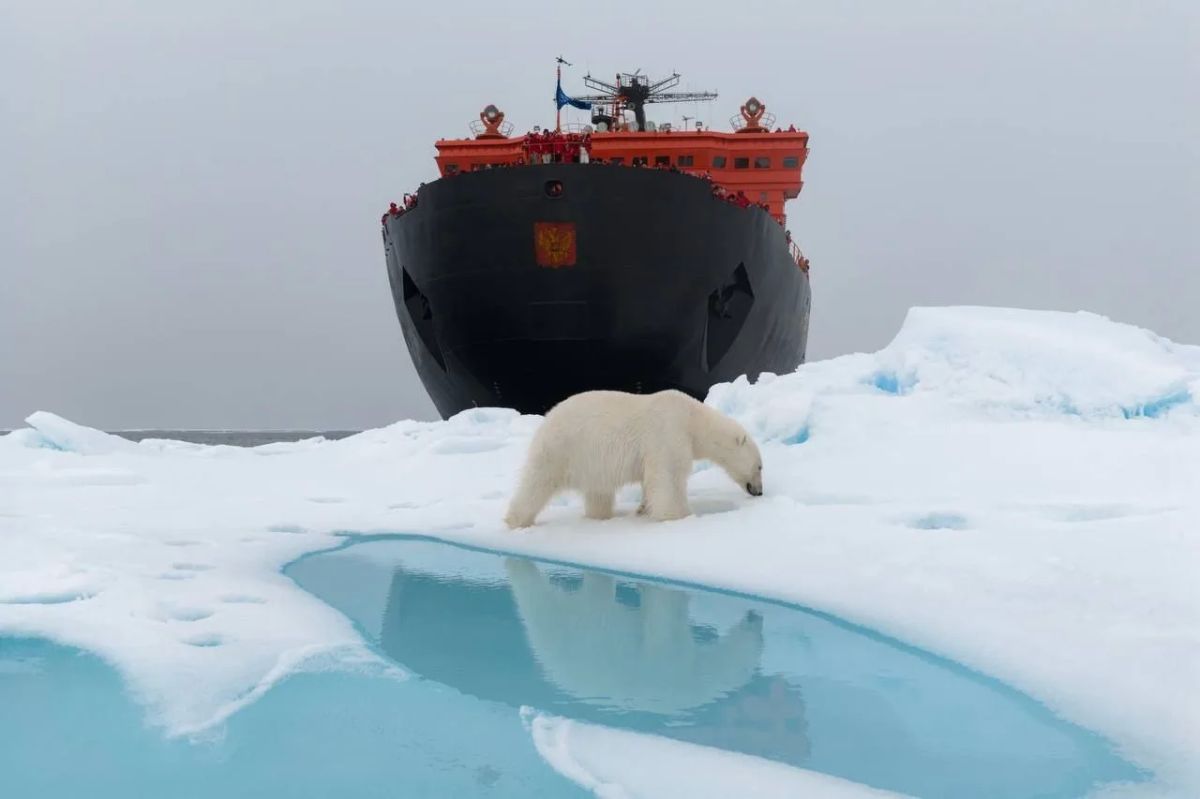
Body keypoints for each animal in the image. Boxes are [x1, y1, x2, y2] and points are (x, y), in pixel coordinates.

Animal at [503, 389, 763, 529]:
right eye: (760, 466)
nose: (759, 491)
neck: (692, 418)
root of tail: (548, 417)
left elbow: (651, 480)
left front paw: (643, 509)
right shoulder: (668, 431)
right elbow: (668, 476)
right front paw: (678, 516)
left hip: (591, 462)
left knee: (598, 493)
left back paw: (602, 517)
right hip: (561, 449)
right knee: (536, 483)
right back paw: (516, 521)